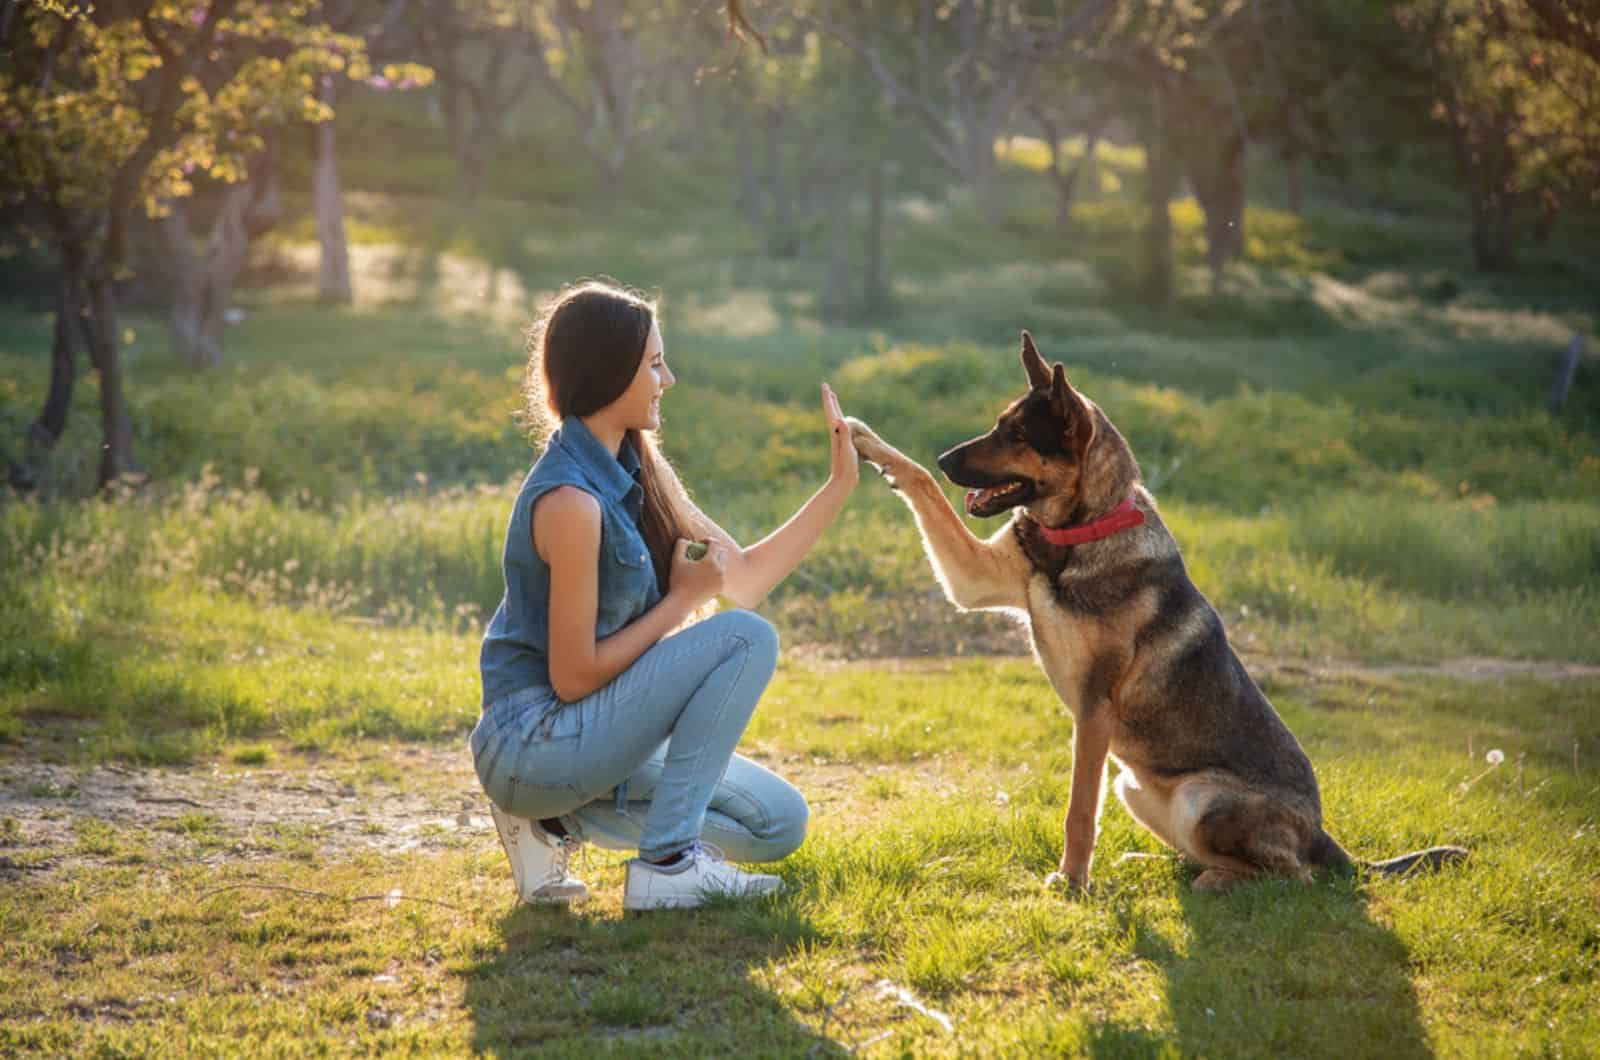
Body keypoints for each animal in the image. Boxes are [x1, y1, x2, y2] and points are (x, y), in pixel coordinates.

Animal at [851, 334, 1465, 896]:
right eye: (999, 424)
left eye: (1018, 435)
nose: (945, 459)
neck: (1084, 530)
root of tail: (1323, 836)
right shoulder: (974, 578)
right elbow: (919, 484)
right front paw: (864, 439)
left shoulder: (1093, 710)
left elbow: (1079, 810)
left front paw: (1072, 881)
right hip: (1136, 788)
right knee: (1221, 858)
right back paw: (1156, 863)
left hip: (1201, 797)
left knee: (1293, 877)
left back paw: (1215, 881)